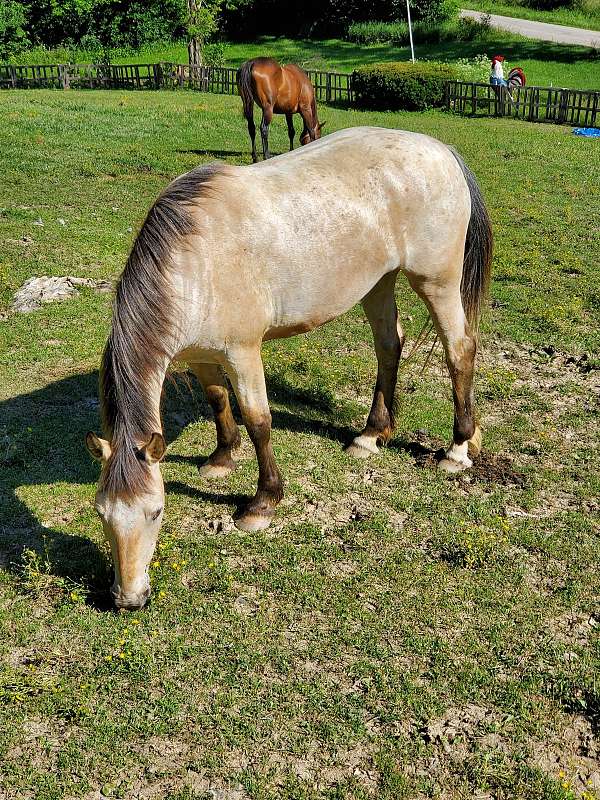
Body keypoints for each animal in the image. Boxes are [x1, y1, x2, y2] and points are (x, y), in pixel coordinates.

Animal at [86, 126, 493, 610]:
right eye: (101, 512)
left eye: (156, 511)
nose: (128, 598)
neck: (197, 262)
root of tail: (441, 150)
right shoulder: (201, 355)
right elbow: (218, 400)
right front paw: (221, 459)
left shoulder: (242, 353)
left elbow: (259, 420)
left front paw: (262, 503)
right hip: (378, 281)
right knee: (389, 345)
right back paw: (371, 435)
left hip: (437, 282)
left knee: (459, 349)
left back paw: (458, 449)